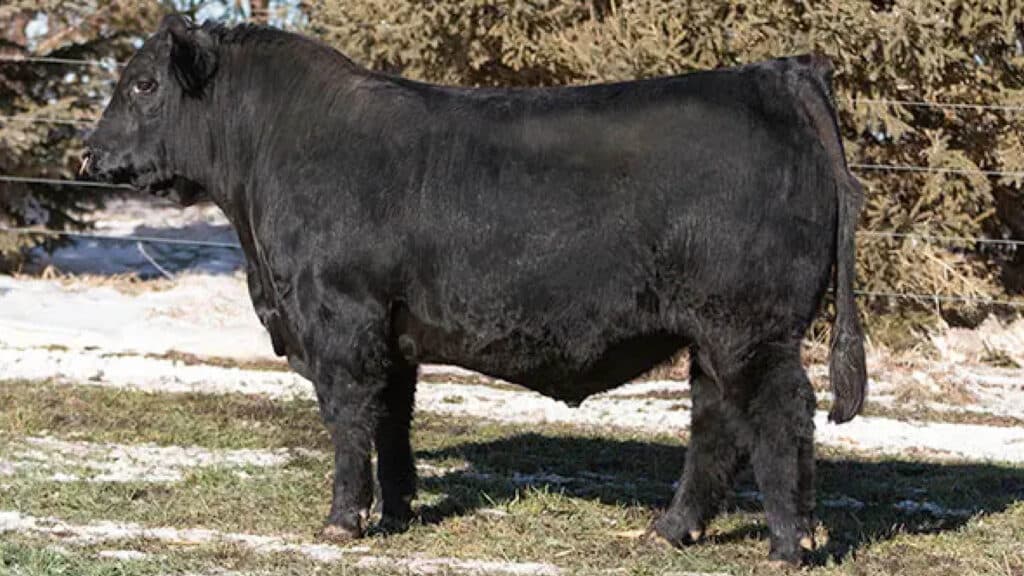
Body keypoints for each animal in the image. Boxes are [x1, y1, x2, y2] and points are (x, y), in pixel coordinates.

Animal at [82, 14, 867, 564]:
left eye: (144, 84)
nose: (91, 155)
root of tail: (777, 73)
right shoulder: (392, 332)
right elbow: (392, 419)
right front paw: (397, 512)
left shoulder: (341, 318)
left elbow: (350, 419)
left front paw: (343, 521)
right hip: (712, 337)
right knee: (716, 427)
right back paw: (669, 532)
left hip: (749, 329)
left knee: (779, 419)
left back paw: (787, 547)